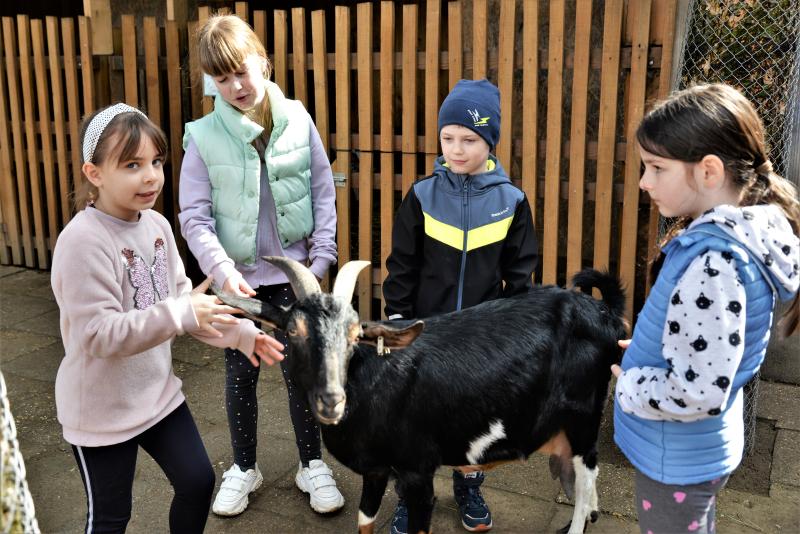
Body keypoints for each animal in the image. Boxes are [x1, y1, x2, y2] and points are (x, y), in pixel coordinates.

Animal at [216, 258, 628, 532]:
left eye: (355, 335)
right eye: (293, 331)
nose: (331, 400)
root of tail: (605, 312)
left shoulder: (417, 472)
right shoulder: (377, 470)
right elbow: (365, 521)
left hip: (583, 418)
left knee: (586, 478)